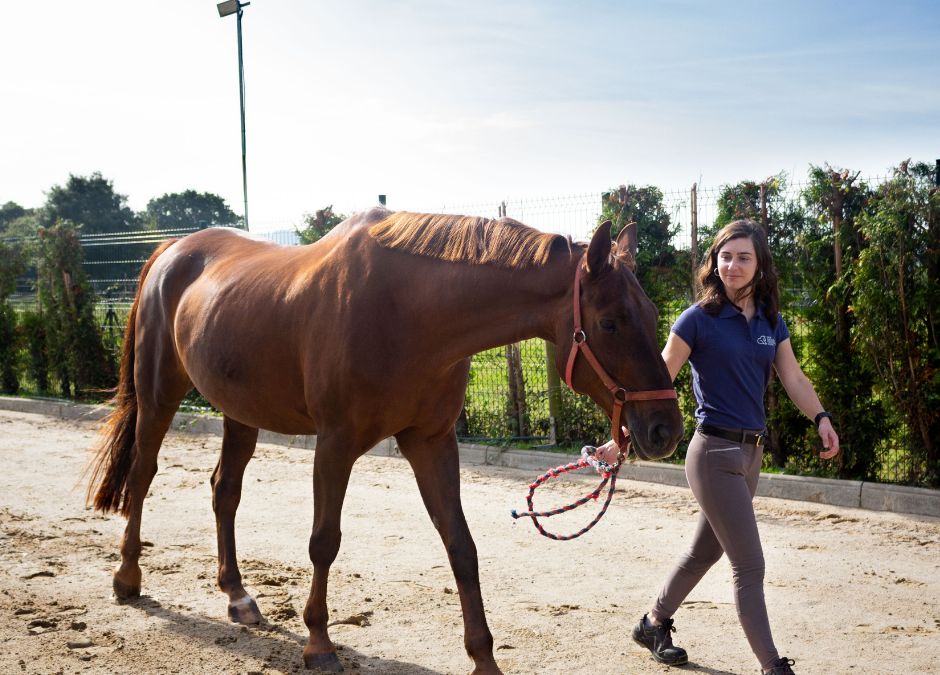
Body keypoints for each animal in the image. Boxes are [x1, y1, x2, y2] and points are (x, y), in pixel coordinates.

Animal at [86, 209, 684, 672]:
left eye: (653, 314)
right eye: (609, 323)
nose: (666, 430)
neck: (408, 311)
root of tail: (172, 251)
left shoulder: (432, 443)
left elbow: (461, 547)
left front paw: (483, 658)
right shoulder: (335, 445)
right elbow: (324, 541)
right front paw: (319, 644)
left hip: (240, 413)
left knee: (223, 491)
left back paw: (237, 596)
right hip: (159, 396)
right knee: (142, 475)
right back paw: (127, 577)